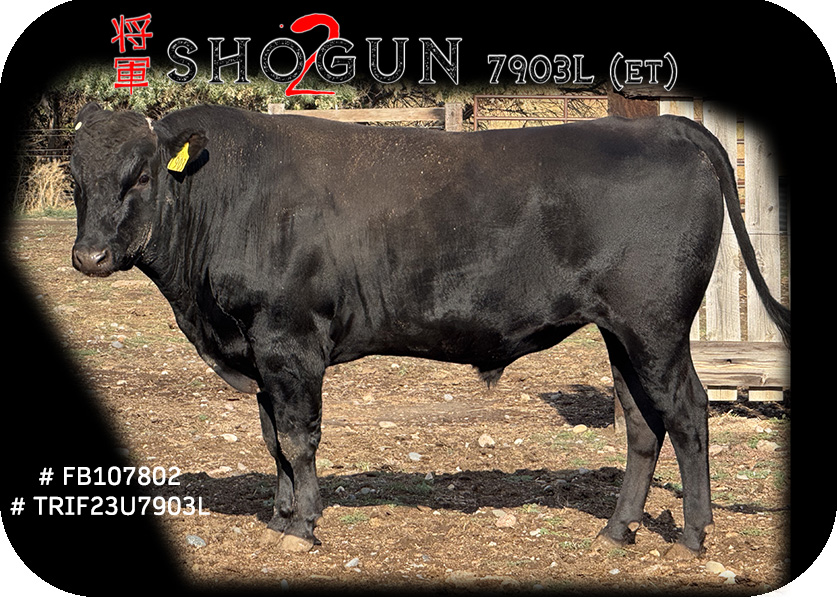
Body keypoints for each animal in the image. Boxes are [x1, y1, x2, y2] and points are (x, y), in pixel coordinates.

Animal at [70, 102, 790, 557]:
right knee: (643, 422)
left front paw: (303, 525)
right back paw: (617, 530)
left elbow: (298, 439)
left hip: (655, 325)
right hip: (621, 332)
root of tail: (666, 127)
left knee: (688, 412)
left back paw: (693, 535)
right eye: (76, 180)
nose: (90, 257)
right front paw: (279, 518)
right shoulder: (258, 352)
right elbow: (273, 440)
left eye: (140, 175)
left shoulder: (287, 340)